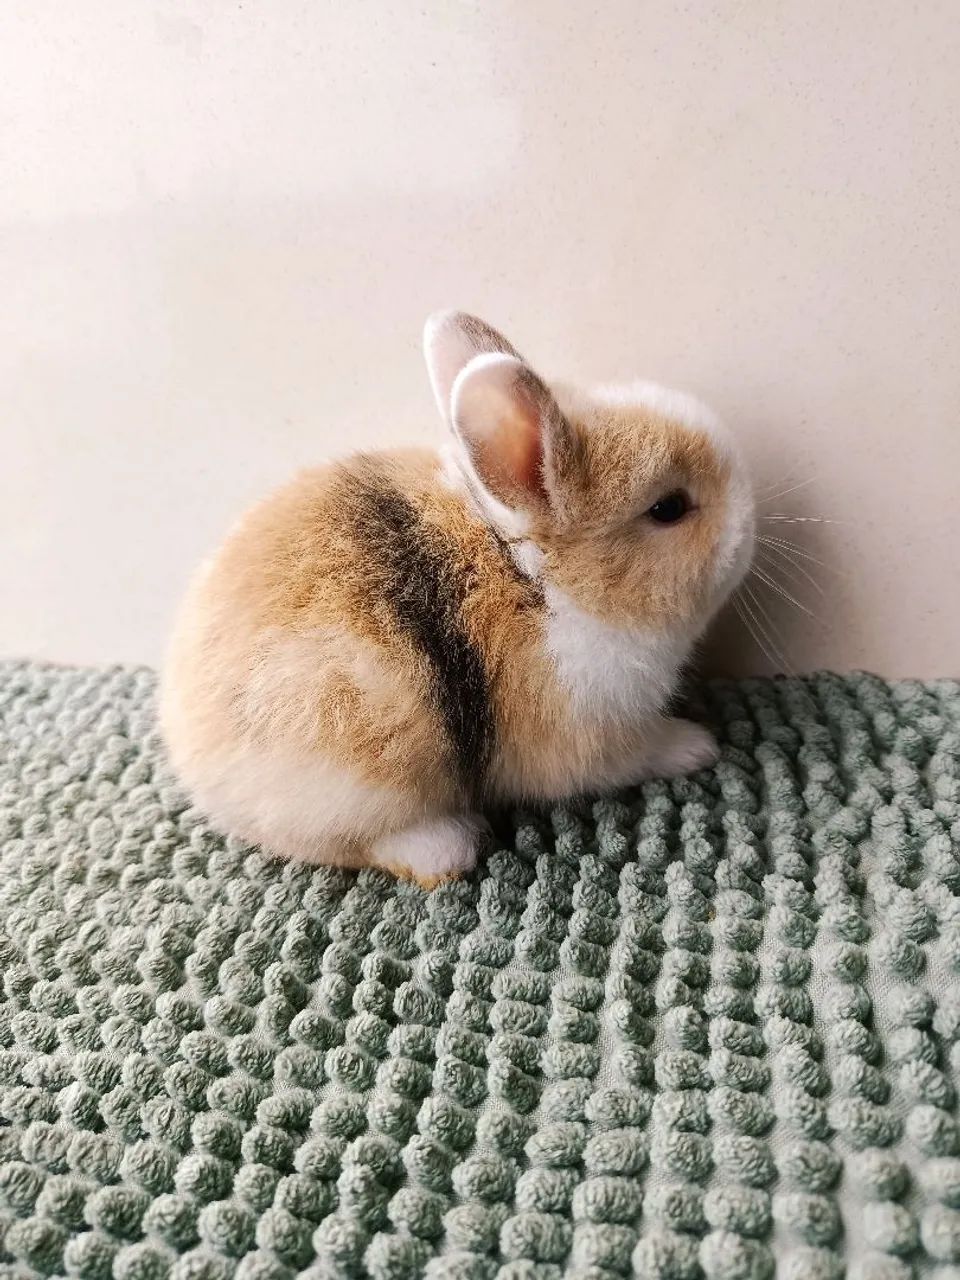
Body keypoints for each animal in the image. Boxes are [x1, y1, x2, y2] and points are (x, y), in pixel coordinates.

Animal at [159, 311, 755, 887]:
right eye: (668, 508)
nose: (751, 524)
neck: (540, 584)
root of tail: (192, 758)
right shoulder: (597, 738)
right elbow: (643, 752)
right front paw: (697, 745)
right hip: (363, 777)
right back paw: (448, 847)